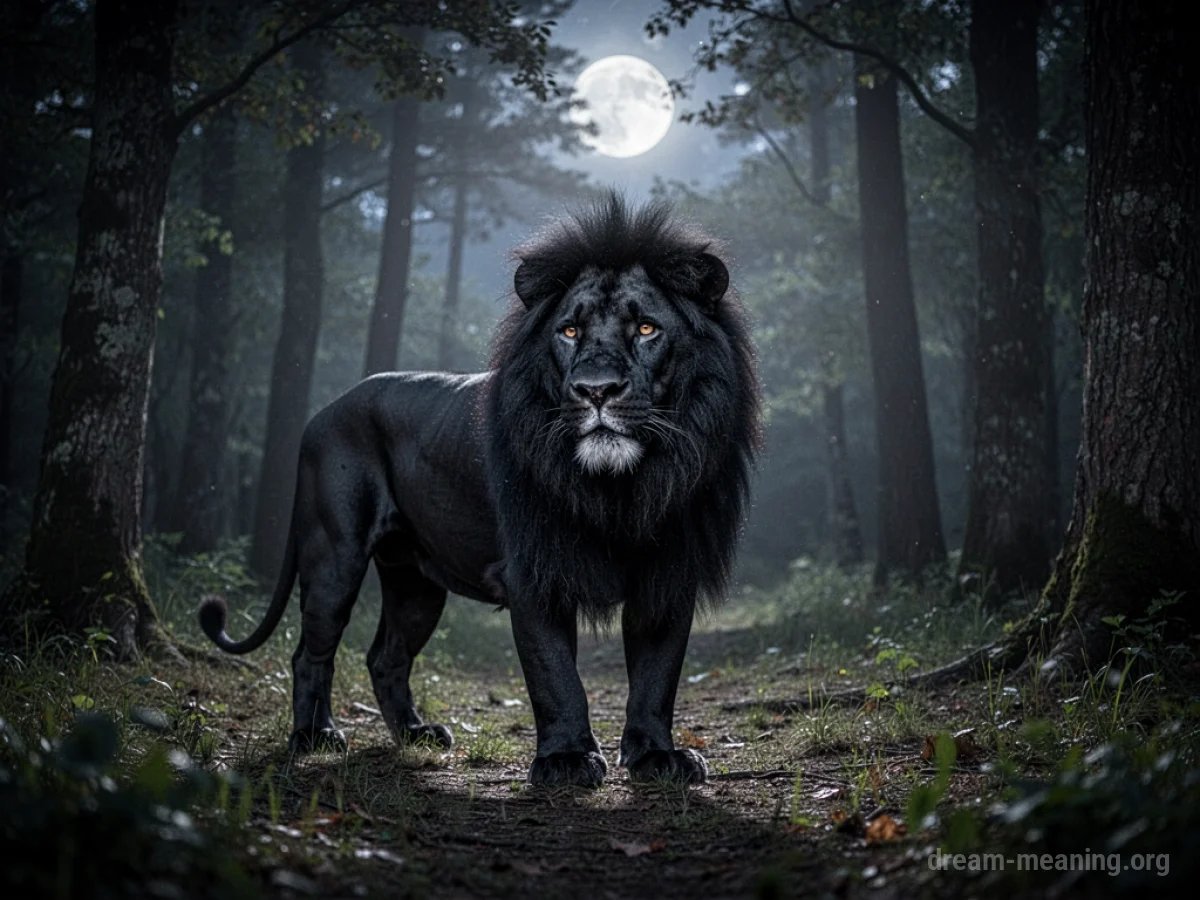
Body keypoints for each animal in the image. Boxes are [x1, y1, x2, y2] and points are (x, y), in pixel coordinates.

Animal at [200, 193, 760, 787]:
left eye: (647, 329)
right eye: (569, 331)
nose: (595, 390)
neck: (621, 487)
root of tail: (322, 412)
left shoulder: (670, 571)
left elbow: (657, 675)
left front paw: (658, 757)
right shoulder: (532, 574)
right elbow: (555, 675)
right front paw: (565, 760)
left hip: (414, 583)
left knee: (386, 656)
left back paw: (417, 735)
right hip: (334, 555)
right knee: (311, 651)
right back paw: (315, 737)